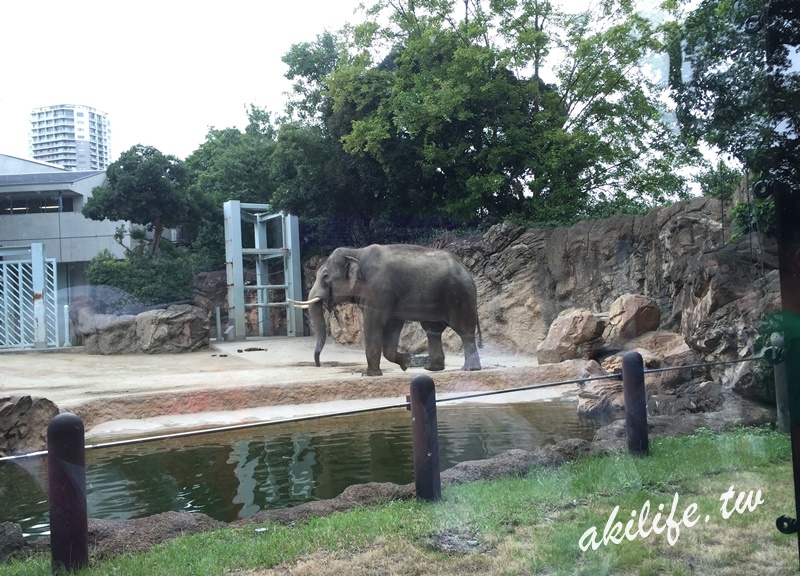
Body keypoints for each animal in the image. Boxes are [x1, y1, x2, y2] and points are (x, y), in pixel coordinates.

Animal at [290, 244, 482, 376]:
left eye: (325, 276)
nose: (318, 365)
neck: (356, 252)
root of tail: (466, 269)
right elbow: (392, 326)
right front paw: (406, 362)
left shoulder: (378, 288)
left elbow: (373, 322)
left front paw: (368, 375)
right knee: (432, 329)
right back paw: (432, 369)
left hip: (459, 296)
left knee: (464, 329)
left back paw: (470, 369)